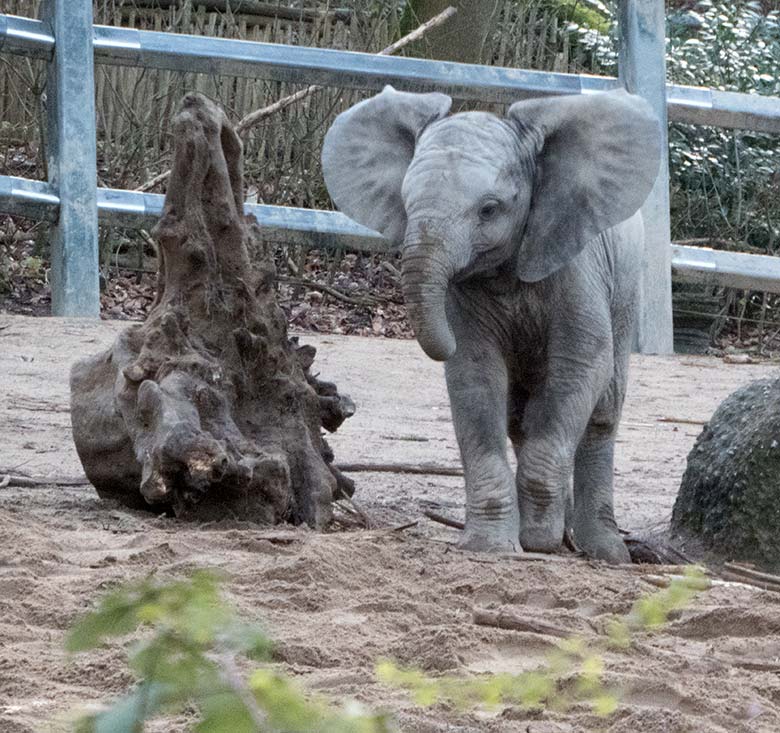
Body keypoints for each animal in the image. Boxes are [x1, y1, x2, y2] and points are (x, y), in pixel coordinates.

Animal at [320, 87, 660, 568]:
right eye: (405, 204)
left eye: (489, 210)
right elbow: (476, 376)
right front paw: (493, 546)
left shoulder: (579, 266)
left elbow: (581, 363)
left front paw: (538, 540)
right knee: (522, 419)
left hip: (628, 286)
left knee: (601, 413)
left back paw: (603, 551)